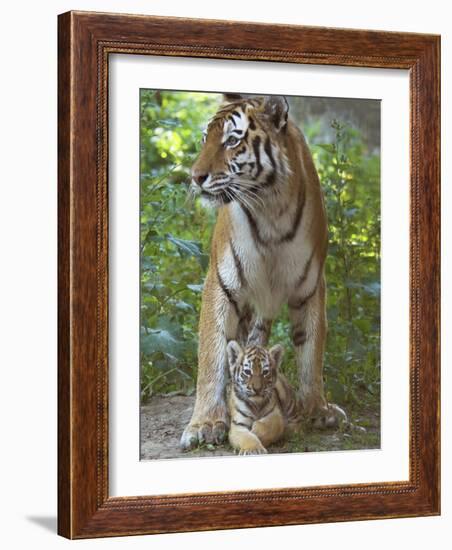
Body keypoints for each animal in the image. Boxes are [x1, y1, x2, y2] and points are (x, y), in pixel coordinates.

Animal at [180, 91, 346, 452]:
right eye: (204, 139)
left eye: (231, 140)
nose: (195, 176)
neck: (271, 209)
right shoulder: (221, 283)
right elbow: (212, 354)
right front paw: (205, 424)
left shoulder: (311, 286)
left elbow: (311, 350)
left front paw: (317, 409)